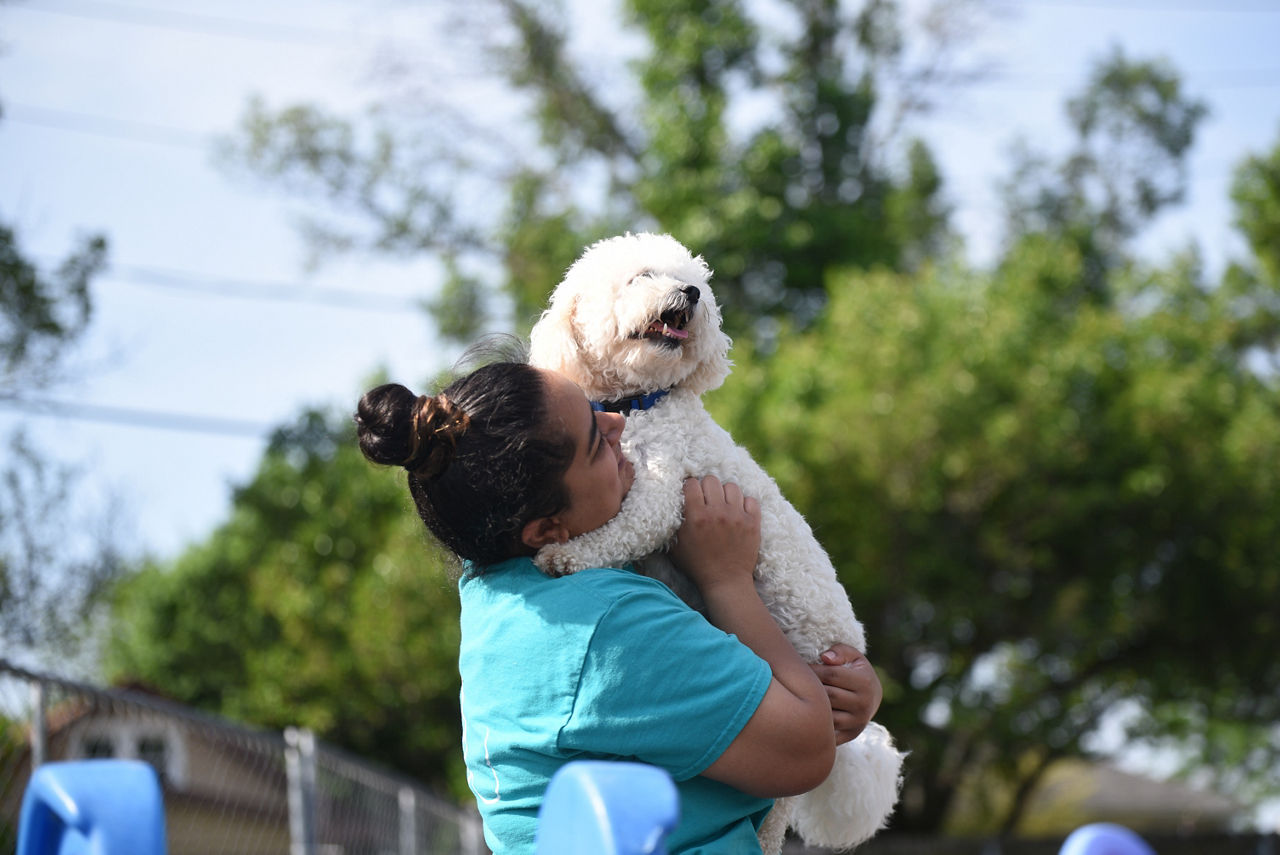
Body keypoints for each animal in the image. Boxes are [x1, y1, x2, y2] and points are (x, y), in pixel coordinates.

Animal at [524, 234, 906, 855]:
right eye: (642, 277)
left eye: (695, 279)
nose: (691, 293)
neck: (639, 405)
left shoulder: (659, 495)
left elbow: (622, 530)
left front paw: (565, 555)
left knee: (781, 806)